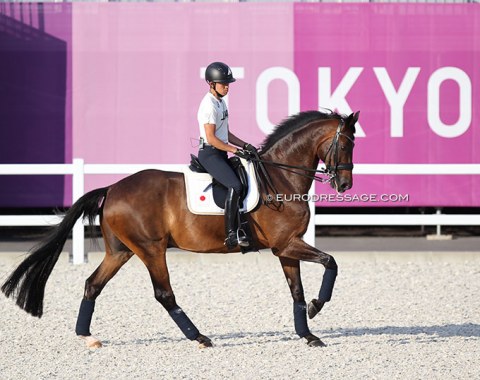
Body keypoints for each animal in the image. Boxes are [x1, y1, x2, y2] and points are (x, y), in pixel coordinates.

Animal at [2, 109, 356, 348]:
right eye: (345, 145)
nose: (345, 184)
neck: (281, 178)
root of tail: (112, 188)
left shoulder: (286, 247)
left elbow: (297, 291)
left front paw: (308, 333)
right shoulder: (286, 245)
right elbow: (332, 263)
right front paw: (317, 306)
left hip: (120, 251)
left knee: (93, 284)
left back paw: (87, 337)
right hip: (150, 249)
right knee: (164, 294)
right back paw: (199, 337)